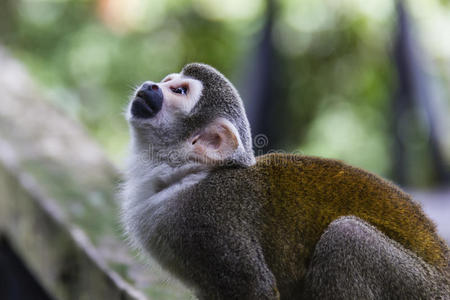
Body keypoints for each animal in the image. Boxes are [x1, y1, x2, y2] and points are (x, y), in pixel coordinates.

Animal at [120, 62, 450, 298]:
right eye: (167, 81)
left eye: (178, 91)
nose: (151, 86)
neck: (188, 176)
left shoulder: (210, 222)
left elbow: (255, 287)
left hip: (417, 287)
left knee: (347, 236)